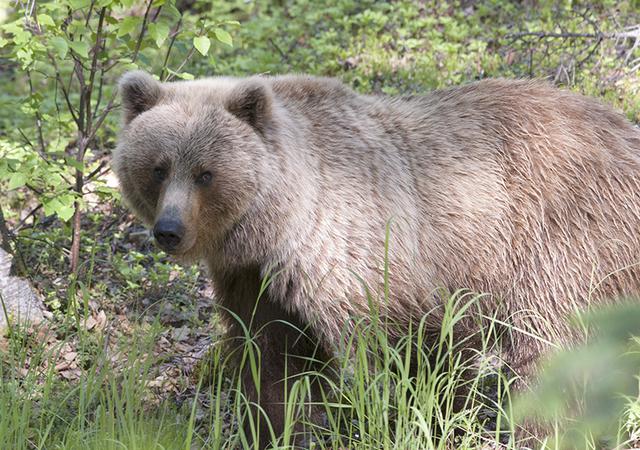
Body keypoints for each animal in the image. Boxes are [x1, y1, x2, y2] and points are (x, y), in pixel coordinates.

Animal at [113, 70, 640, 448]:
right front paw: (272, 429)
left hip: (562, 240)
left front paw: (431, 416)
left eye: (205, 173)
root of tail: (624, 132)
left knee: (549, 348)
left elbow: (421, 349)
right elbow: (272, 357)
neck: (281, 223)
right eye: (158, 168)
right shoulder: (254, 277)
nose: (169, 230)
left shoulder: (372, 249)